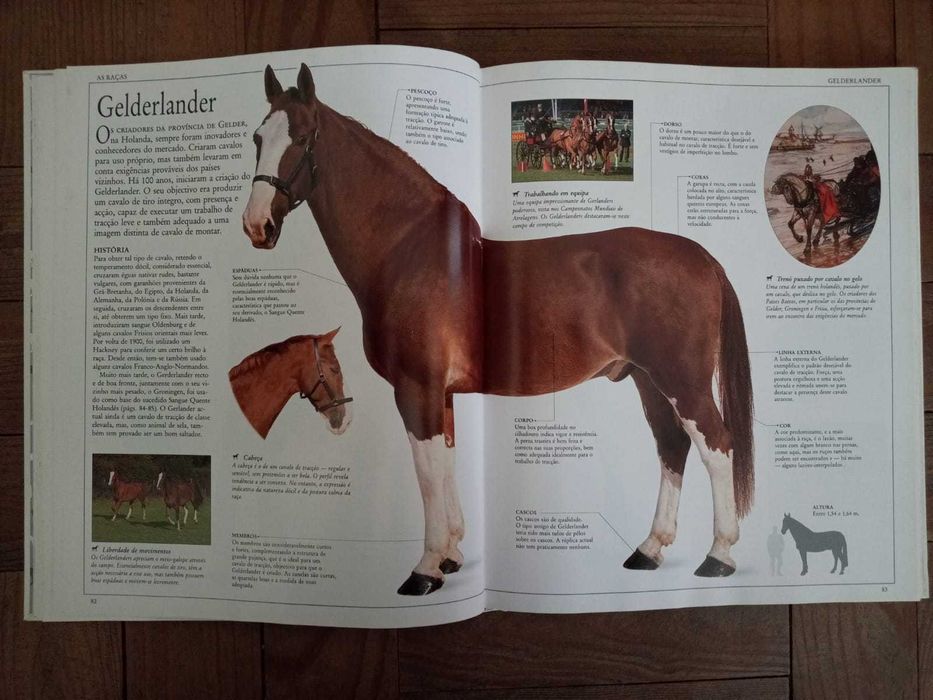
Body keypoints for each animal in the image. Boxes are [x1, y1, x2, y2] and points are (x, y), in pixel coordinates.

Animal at [242, 64, 754, 595]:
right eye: (258, 137)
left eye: (303, 137)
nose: (257, 225)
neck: (408, 252)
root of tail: (702, 256)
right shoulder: (441, 393)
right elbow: (445, 463)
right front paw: (451, 556)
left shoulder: (416, 386)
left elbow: (426, 470)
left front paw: (425, 568)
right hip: (646, 379)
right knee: (673, 447)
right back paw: (649, 549)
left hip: (681, 381)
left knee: (717, 446)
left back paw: (718, 555)